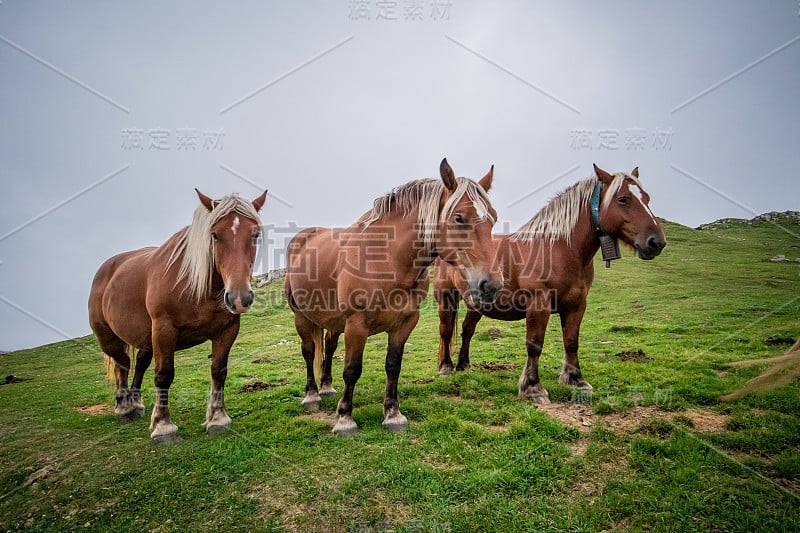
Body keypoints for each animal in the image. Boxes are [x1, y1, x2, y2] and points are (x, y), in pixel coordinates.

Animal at [89, 189, 268, 442]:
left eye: (255, 235)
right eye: (215, 235)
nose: (239, 297)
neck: (197, 287)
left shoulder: (227, 329)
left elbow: (218, 371)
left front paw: (217, 419)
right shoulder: (164, 330)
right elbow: (164, 375)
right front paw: (163, 426)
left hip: (146, 339)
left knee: (139, 364)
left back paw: (136, 403)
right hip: (109, 337)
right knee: (122, 363)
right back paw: (124, 407)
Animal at [286, 158, 500, 436]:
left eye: (493, 219)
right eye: (459, 218)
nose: (492, 286)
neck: (387, 260)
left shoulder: (404, 323)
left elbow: (393, 365)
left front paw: (393, 414)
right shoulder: (356, 325)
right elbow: (352, 370)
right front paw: (345, 419)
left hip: (333, 321)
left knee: (329, 349)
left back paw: (327, 387)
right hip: (301, 317)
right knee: (309, 351)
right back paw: (312, 395)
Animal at [434, 164, 664, 402]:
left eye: (646, 198)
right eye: (623, 199)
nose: (656, 242)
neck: (559, 249)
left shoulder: (577, 305)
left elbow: (571, 341)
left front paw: (576, 380)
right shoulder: (539, 304)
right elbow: (535, 344)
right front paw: (532, 387)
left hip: (477, 302)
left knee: (467, 330)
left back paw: (464, 366)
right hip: (446, 298)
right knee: (446, 330)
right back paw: (446, 367)